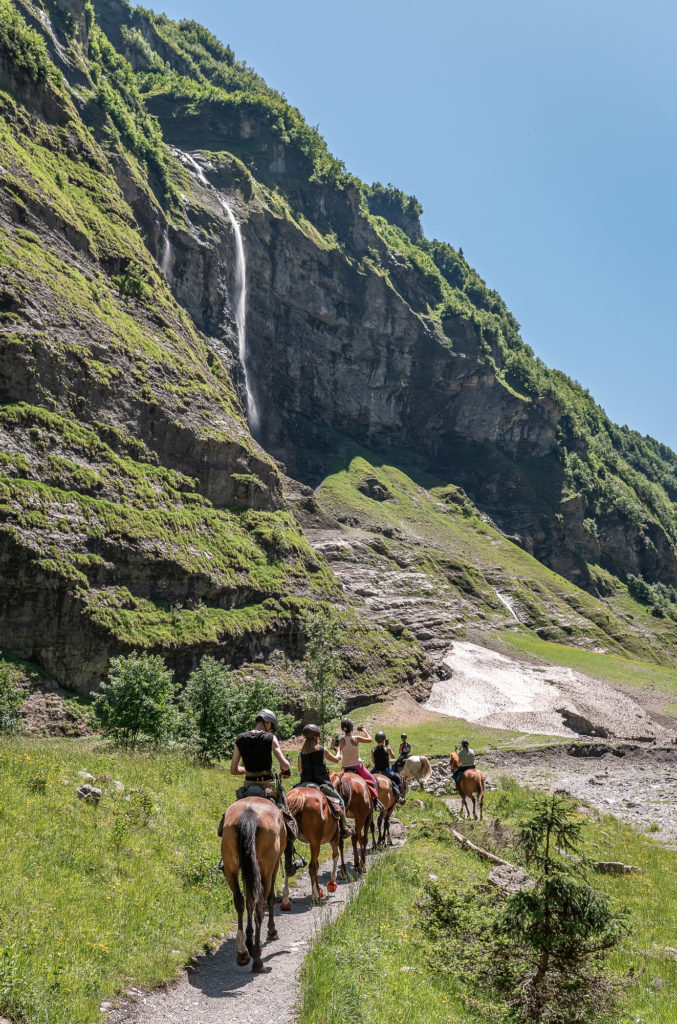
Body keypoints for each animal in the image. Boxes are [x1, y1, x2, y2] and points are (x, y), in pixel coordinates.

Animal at [222, 794, 284, 970]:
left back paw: (243, 953)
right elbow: (270, 897)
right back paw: (257, 959)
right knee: (259, 906)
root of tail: (249, 813)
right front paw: (272, 931)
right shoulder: (274, 867)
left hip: (230, 868)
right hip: (266, 869)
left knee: (240, 901)